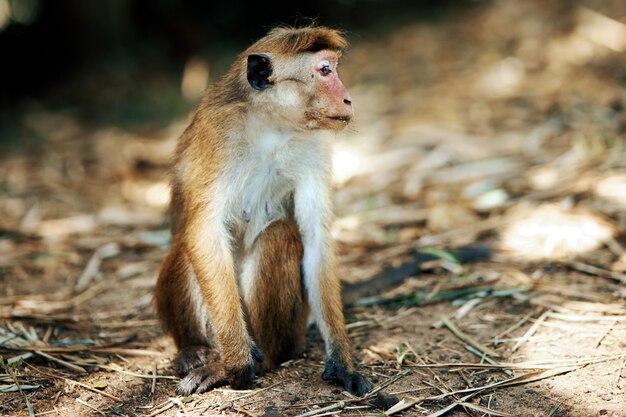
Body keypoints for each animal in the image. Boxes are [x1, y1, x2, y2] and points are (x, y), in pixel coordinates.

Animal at [153, 26, 372, 396]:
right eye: (325, 70)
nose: (348, 99)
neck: (271, 126)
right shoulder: (218, 134)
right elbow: (204, 231)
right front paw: (237, 362)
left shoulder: (313, 144)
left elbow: (315, 239)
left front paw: (342, 360)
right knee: (186, 245)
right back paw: (197, 350)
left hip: (293, 328)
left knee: (279, 234)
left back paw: (266, 357)